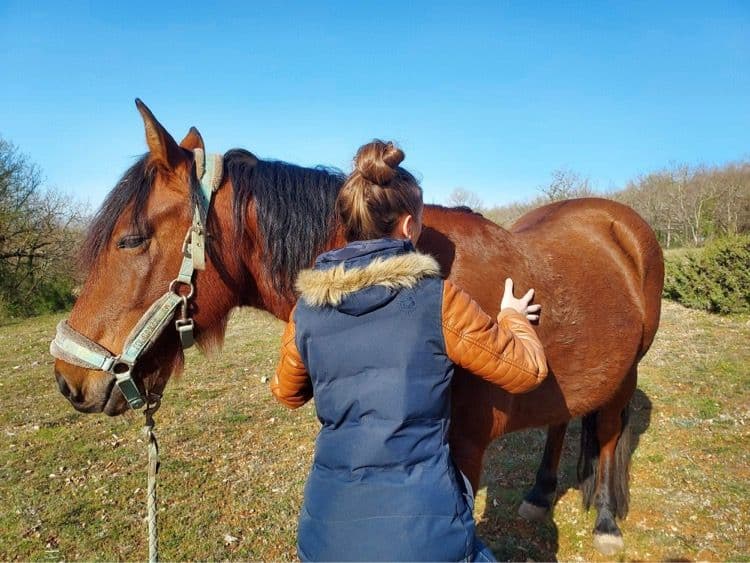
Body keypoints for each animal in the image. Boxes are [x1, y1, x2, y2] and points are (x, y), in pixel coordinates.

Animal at [51, 100, 664, 556]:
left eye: (130, 239)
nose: (67, 378)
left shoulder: (463, 448)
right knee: (564, 419)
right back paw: (540, 494)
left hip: (628, 371)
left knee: (611, 431)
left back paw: (607, 522)